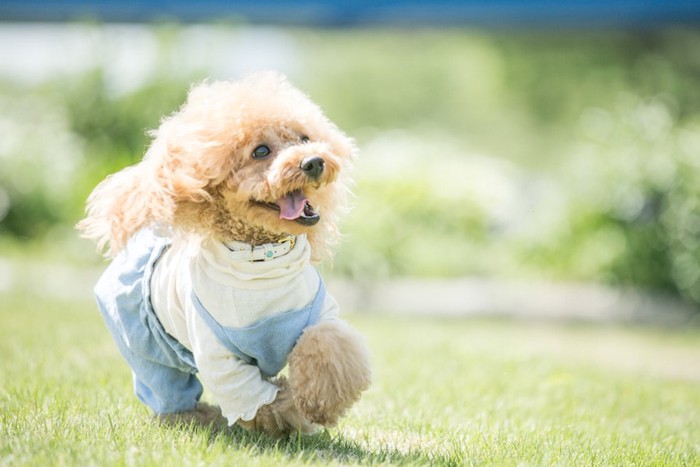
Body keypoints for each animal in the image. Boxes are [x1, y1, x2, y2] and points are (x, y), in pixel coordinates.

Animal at [76, 73, 372, 438]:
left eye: (305, 138)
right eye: (261, 151)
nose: (314, 162)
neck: (262, 259)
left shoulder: (317, 316)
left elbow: (329, 344)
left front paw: (319, 405)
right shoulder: (219, 355)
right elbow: (265, 403)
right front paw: (294, 410)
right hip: (143, 344)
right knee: (165, 386)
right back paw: (191, 417)